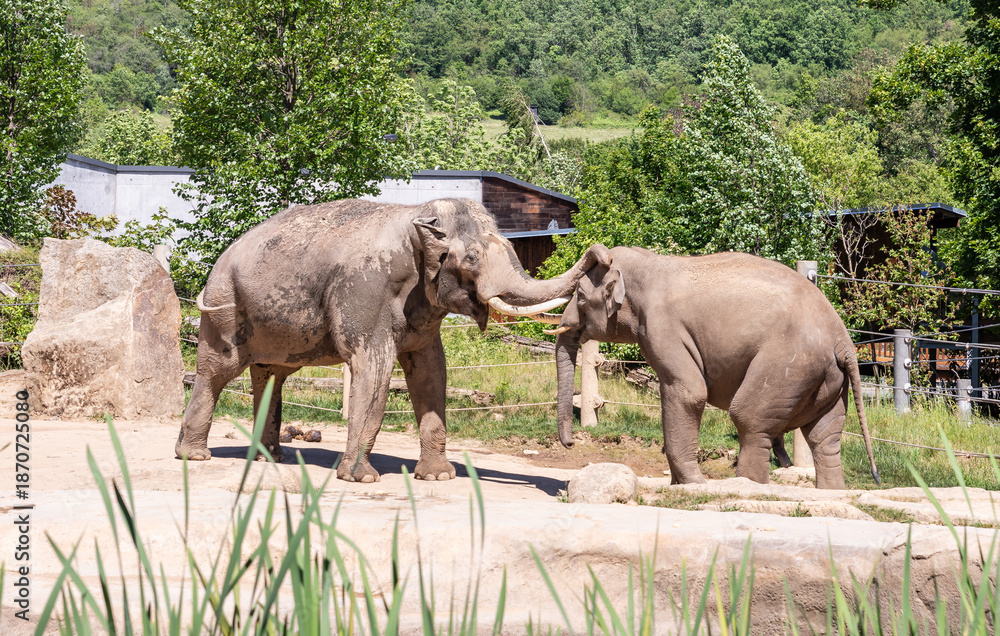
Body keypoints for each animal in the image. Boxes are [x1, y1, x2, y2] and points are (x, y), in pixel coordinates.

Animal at [176, 198, 610, 482]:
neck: (416, 215)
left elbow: (431, 370)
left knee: (271, 374)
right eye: (471, 258)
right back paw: (194, 456)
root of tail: (218, 261)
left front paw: (438, 478)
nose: (602, 254)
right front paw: (360, 478)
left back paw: (269, 459)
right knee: (217, 371)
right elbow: (375, 365)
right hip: (225, 308)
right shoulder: (364, 288)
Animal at [548, 246, 878, 489]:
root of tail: (843, 339)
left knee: (750, 421)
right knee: (825, 436)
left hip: (788, 365)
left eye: (580, 296)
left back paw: (747, 487)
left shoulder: (663, 327)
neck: (650, 263)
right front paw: (678, 486)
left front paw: (694, 484)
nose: (571, 444)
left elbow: (688, 393)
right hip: (826, 379)